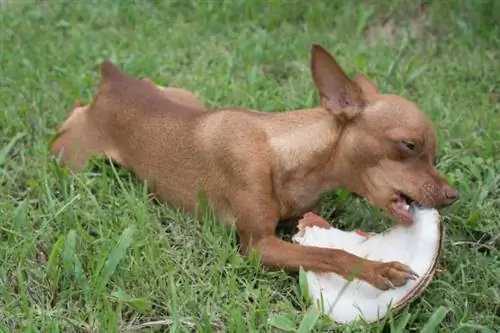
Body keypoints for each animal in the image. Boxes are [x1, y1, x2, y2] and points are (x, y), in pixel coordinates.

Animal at [48, 43, 458, 288]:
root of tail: (114, 80)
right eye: (409, 146)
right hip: (71, 156)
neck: (287, 155)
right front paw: (377, 269)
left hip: (187, 97)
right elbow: (331, 252)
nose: (453, 195)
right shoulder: (259, 246)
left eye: (435, 156)